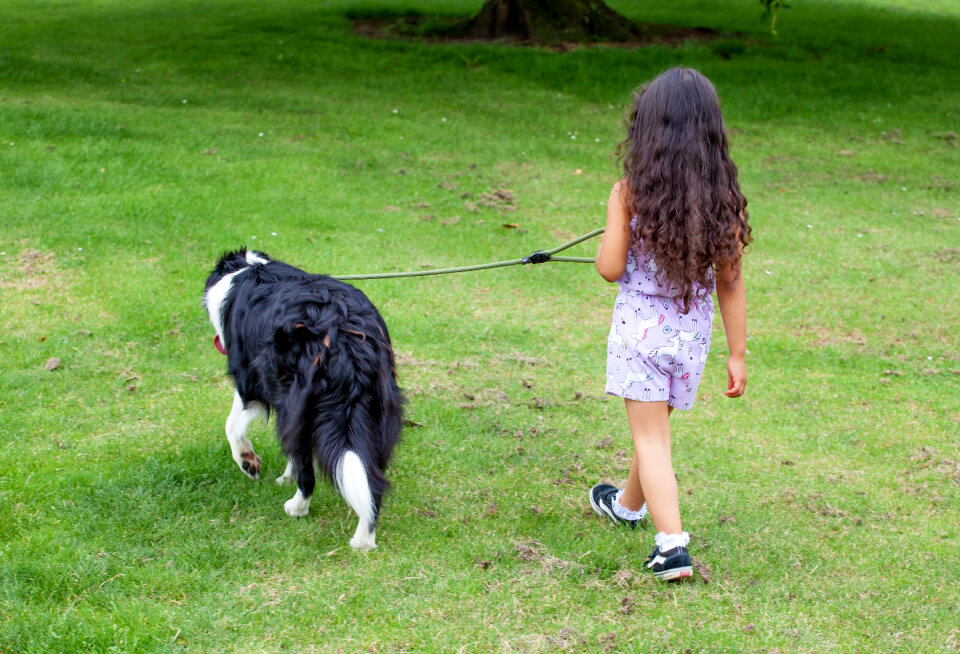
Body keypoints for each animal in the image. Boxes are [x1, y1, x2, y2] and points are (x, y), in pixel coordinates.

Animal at [202, 251, 402, 552]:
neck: (248, 268)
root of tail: (343, 332)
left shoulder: (250, 383)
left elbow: (233, 427)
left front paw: (249, 463)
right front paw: (285, 475)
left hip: (298, 400)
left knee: (308, 470)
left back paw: (297, 507)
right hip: (379, 406)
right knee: (372, 477)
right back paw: (364, 539)